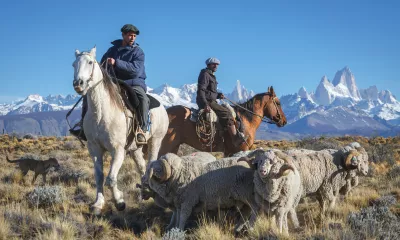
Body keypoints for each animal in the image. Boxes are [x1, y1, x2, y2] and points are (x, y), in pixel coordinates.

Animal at [72, 46, 169, 215]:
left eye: (90, 62)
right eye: (73, 64)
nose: (79, 83)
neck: (101, 113)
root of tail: (162, 106)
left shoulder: (117, 150)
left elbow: (111, 178)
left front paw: (119, 202)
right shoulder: (94, 148)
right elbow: (99, 176)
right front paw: (98, 204)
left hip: (155, 140)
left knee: (150, 164)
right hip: (135, 148)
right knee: (142, 167)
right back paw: (144, 192)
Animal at [158, 87, 286, 157]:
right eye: (278, 103)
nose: (284, 121)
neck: (246, 120)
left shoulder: (229, 152)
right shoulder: (241, 150)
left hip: (174, 146)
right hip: (166, 145)